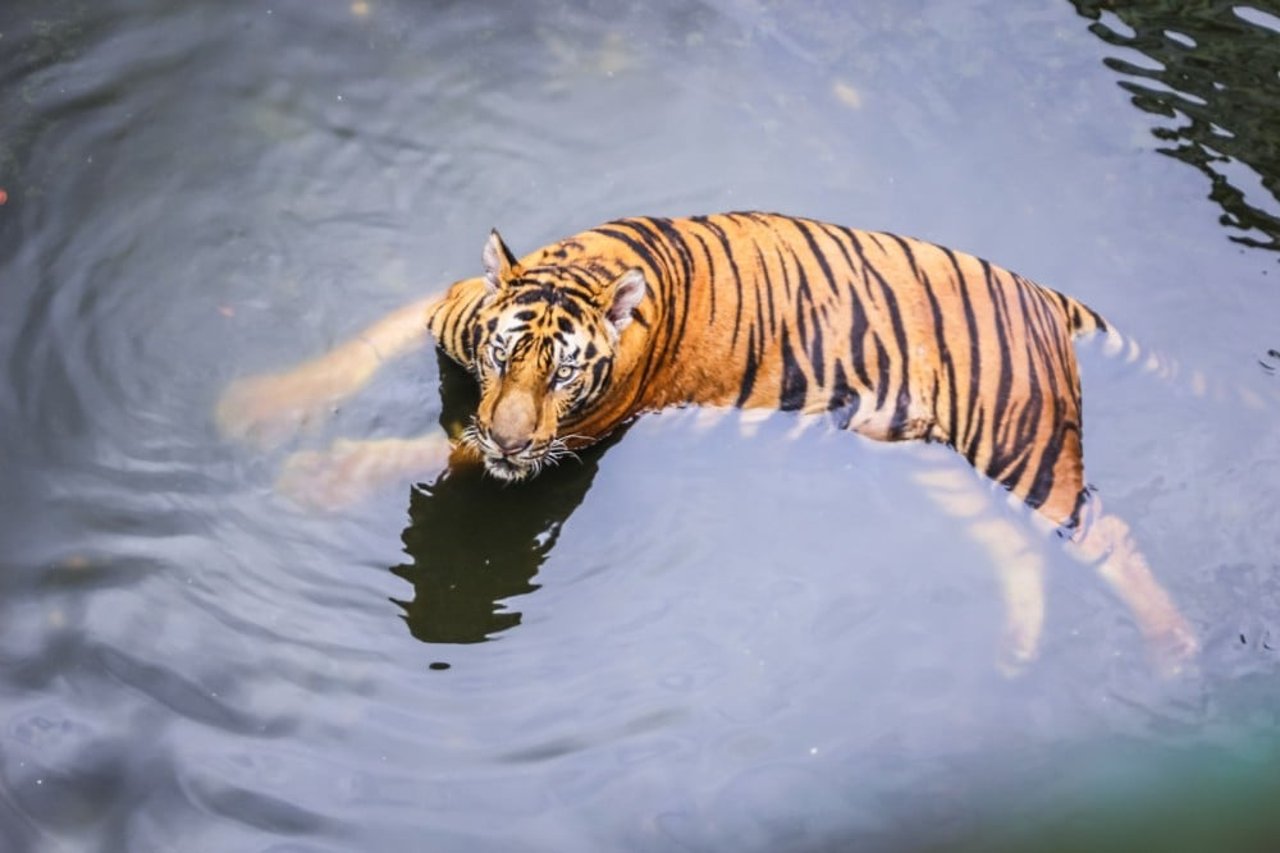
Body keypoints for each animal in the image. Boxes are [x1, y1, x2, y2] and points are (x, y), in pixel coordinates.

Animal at [217, 211, 1198, 671]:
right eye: (503, 352)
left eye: (565, 376)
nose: (512, 435)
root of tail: (1044, 294)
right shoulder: (448, 310)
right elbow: (365, 347)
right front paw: (256, 405)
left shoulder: (573, 440)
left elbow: (446, 449)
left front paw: (320, 474)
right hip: (935, 462)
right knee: (1011, 547)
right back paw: (1017, 653)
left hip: (1024, 450)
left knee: (1103, 534)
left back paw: (1176, 649)